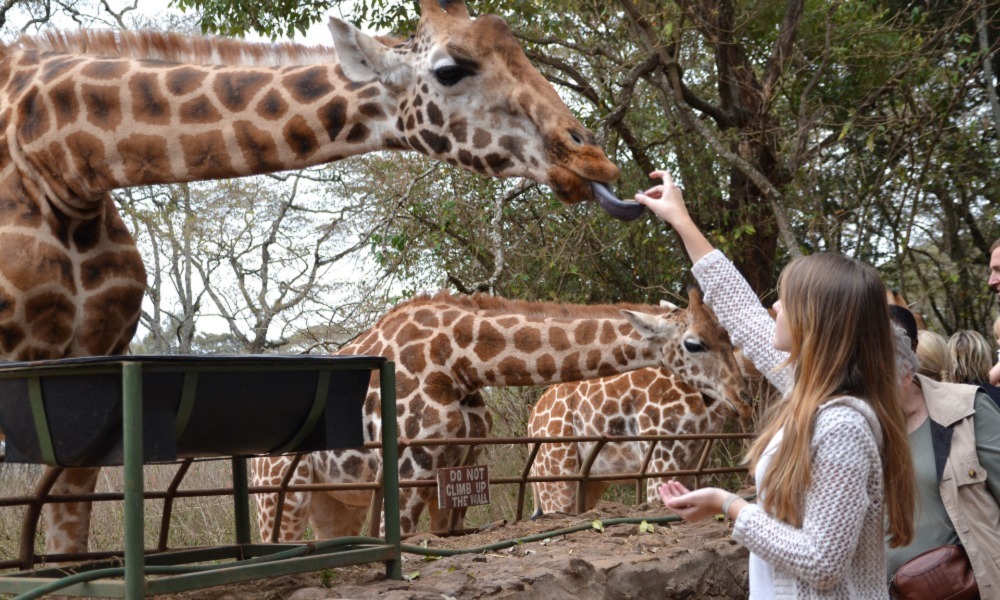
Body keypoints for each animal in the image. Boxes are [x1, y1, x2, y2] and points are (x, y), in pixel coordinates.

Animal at [0, 0, 636, 556]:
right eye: (451, 69)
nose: (592, 160)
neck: (58, 157)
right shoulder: (409, 464)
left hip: (330, 495)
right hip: (280, 495)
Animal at [250, 289, 751, 542]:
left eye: (729, 335)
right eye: (694, 343)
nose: (742, 394)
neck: (460, 359)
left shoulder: (457, 464)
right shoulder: (410, 465)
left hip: (333, 500)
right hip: (277, 494)